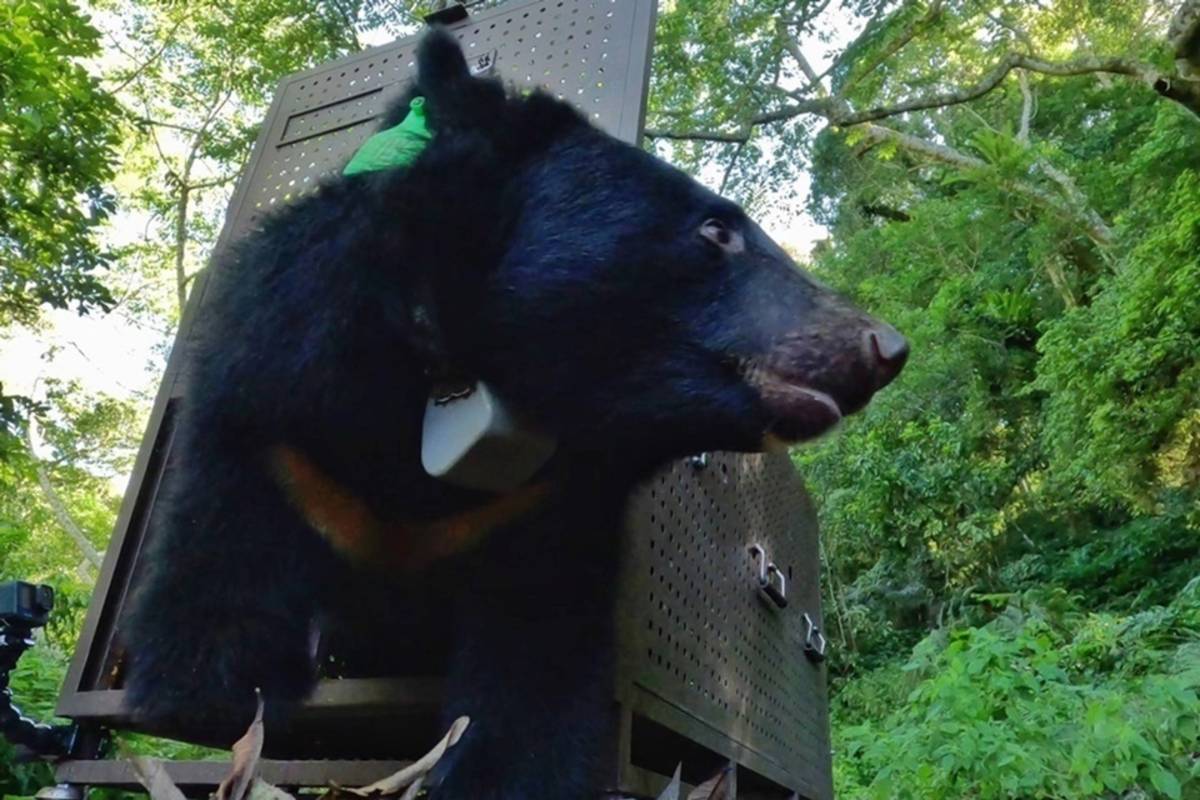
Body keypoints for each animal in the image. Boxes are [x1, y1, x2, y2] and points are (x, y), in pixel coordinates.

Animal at [124, 28, 907, 800]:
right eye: (716, 230)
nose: (885, 346)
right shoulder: (279, 423)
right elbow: (217, 604)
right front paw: (216, 694)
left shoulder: (546, 513)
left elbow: (538, 669)